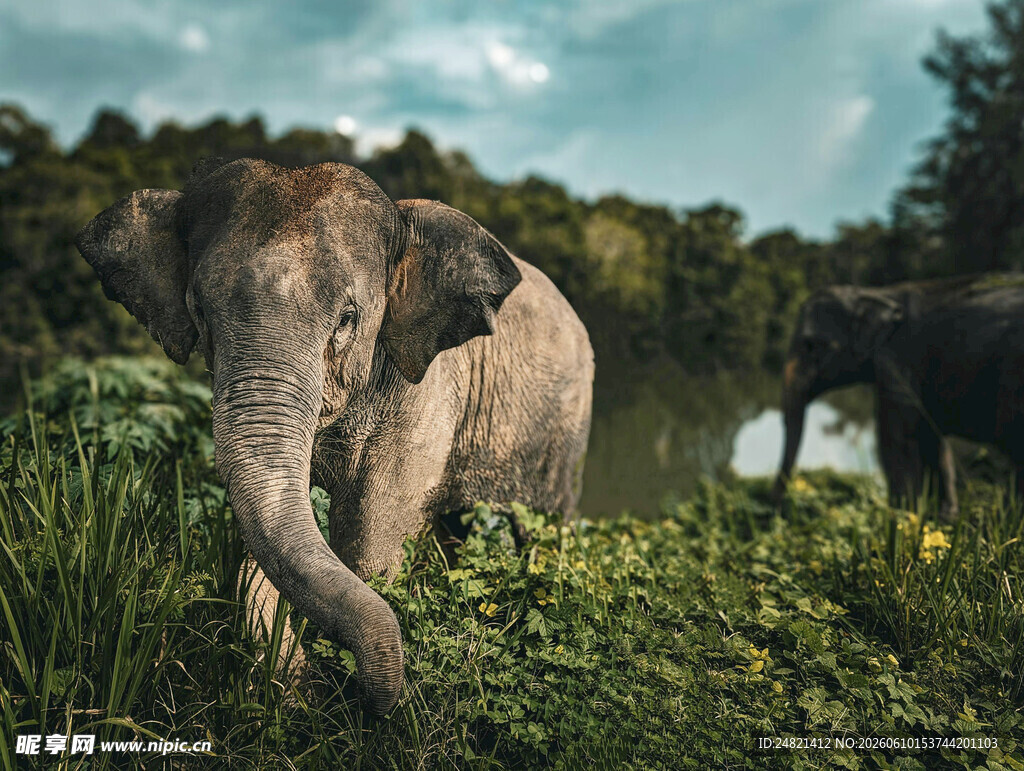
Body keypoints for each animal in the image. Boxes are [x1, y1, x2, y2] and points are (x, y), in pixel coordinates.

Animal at [75, 157, 595, 714]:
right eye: (199, 313)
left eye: (347, 320)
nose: (354, 696)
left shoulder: (428, 394)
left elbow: (371, 552)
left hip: (568, 427)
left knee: (542, 526)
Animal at [773, 276, 1024, 518]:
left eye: (811, 345)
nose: (779, 513)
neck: (877, 293)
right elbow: (930, 438)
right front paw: (942, 519)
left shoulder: (897, 363)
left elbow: (896, 440)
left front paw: (901, 518)